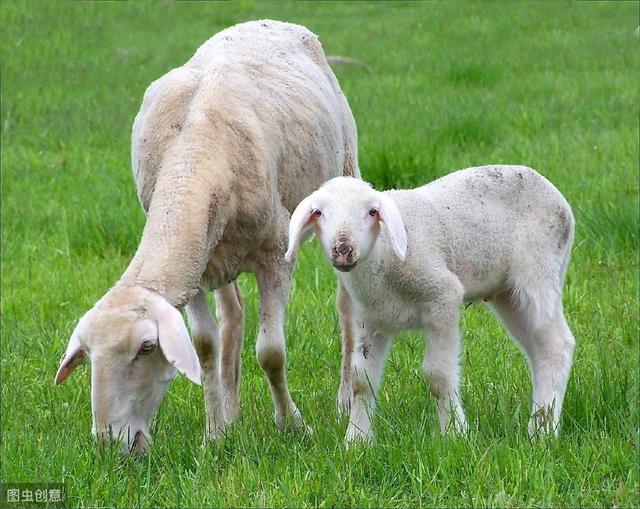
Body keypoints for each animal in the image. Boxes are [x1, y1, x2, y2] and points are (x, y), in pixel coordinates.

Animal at [53, 19, 360, 452]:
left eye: (146, 347)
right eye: (89, 356)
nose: (110, 443)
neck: (192, 158)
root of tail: (267, 21)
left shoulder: (275, 253)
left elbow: (271, 352)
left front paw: (293, 425)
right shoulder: (195, 272)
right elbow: (204, 346)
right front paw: (215, 434)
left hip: (345, 170)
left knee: (346, 304)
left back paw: (345, 400)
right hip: (219, 254)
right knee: (233, 314)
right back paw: (231, 410)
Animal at [284, 166, 576, 440]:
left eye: (372, 212)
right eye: (318, 212)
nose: (343, 250)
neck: (384, 256)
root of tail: (554, 193)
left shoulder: (443, 296)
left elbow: (438, 376)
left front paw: (455, 433)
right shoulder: (370, 320)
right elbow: (360, 381)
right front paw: (357, 440)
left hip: (538, 270)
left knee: (556, 344)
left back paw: (544, 430)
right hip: (507, 293)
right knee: (537, 349)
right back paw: (538, 421)